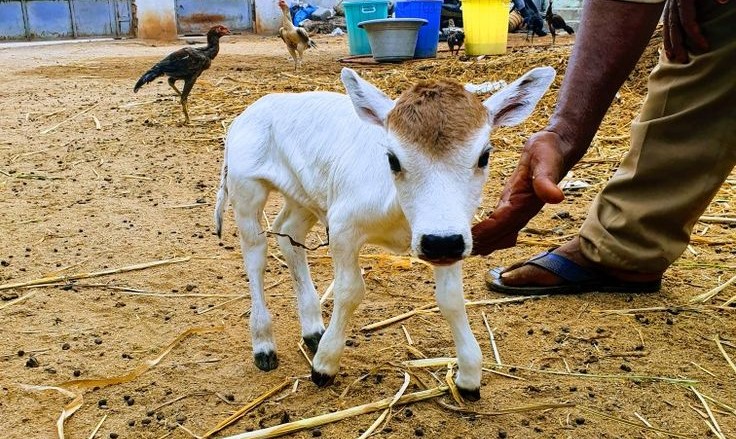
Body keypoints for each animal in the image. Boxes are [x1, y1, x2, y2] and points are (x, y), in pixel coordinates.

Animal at [216, 67, 556, 400]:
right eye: (393, 159)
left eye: (484, 156)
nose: (439, 243)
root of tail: (248, 113)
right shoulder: (343, 226)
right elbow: (349, 291)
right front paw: (325, 365)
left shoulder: (454, 234)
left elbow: (451, 299)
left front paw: (469, 376)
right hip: (245, 189)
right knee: (256, 256)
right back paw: (263, 343)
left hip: (304, 195)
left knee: (288, 233)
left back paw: (312, 330)